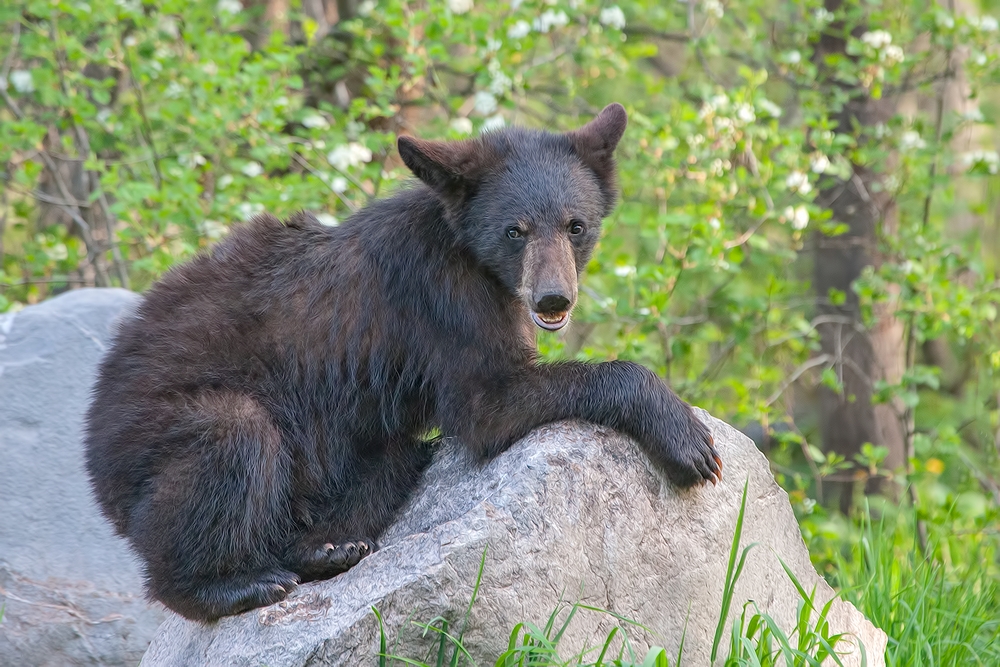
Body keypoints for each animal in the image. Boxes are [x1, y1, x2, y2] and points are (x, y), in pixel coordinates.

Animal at [82, 102, 716, 624]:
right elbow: (489, 403)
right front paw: (686, 436)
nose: (552, 300)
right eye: (515, 230)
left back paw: (327, 550)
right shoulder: (440, 295)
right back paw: (233, 585)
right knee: (231, 439)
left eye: (575, 225)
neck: (468, 253)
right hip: (158, 431)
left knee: (394, 457)